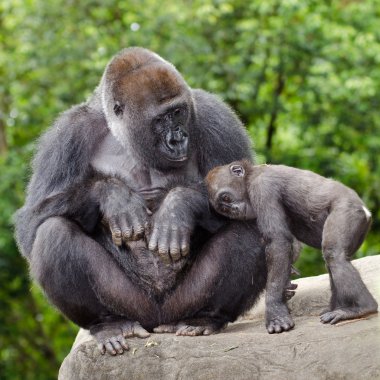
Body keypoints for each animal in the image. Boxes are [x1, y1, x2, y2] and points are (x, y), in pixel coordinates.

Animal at [14, 48, 268, 356]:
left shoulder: (213, 116)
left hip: (182, 303)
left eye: (178, 112)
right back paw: (108, 324)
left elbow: (248, 190)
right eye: (160, 120)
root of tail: (157, 320)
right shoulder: (68, 134)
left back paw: (206, 318)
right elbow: (31, 221)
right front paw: (112, 196)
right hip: (132, 305)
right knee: (53, 232)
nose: (178, 139)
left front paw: (178, 206)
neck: (121, 132)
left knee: (249, 230)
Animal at [206, 160, 378, 332]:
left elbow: (278, 242)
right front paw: (285, 291)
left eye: (226, 198)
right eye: (224, 209)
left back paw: (362, 308)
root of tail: (366, 211)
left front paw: (275, 312)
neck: (249, 176)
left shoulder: (262, 187)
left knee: (334, 255)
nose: (233, 209)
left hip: (349, 211)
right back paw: (341, 307)